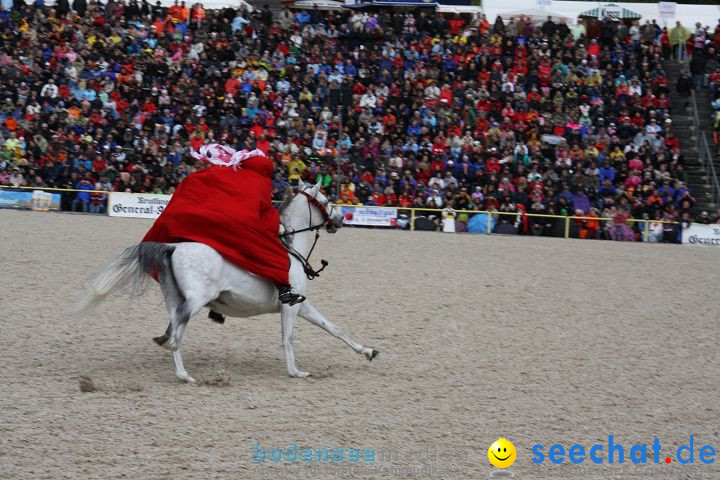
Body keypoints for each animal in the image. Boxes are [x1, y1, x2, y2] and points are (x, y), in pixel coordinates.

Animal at [70, 180, 380, 382]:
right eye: (325, 201)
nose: (341, 219)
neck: (291, 249)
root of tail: (172, 247)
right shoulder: (290, 305)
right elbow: (288, 338)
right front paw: (296, 372)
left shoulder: (301, 304)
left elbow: (333, 327)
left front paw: (367, 351)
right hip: (196, 299)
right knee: (178, 329)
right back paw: (180, 366)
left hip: (175, 299)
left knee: (174, 328)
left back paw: (180, 368)